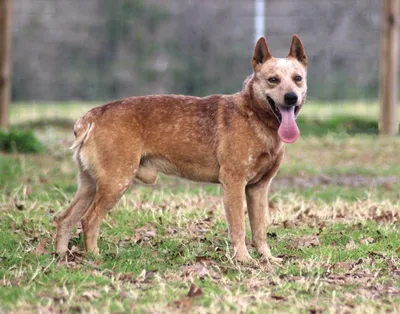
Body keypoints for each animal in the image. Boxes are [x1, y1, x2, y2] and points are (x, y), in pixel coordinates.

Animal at [54, 35, 308, 262]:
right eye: (273, 79)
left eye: (297, 78)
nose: (291, 97)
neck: (254, 116)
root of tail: (91, 117)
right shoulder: (234, 184)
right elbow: (238, 228)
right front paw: (244, 259)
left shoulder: (259, 187)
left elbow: (259, 229)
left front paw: (267, 258)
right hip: (115, 182)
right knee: (89, 220)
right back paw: (94, 256)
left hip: (90, 184)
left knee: (65, 218)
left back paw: (60, 255)